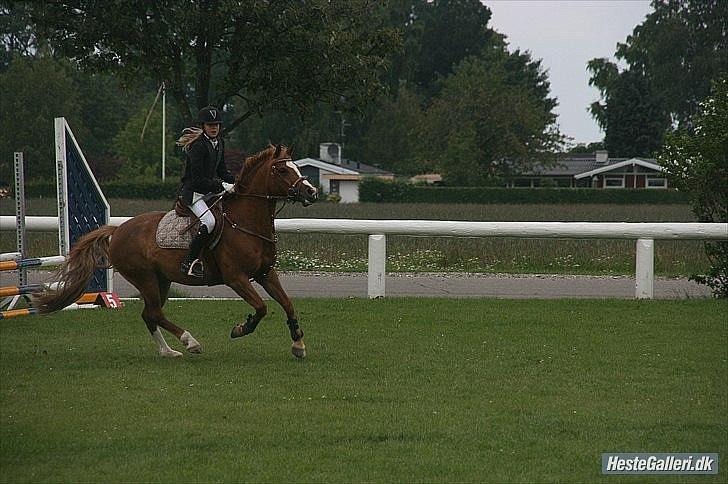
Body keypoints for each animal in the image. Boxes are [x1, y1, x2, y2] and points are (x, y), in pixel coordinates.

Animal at [32, 144, 318, 360]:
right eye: (282, 169)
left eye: (296, 167)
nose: (311, 192)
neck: (246, 223)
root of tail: (119, 229)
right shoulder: (236, 278)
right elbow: (261, 307)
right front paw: (241, 328)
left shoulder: (266, 273)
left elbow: (288, 304)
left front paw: (298, 344)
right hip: (145, 277)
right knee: (155, 313)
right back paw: (190, 342)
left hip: (162, 280)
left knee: (149, 314)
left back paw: (168, 351)